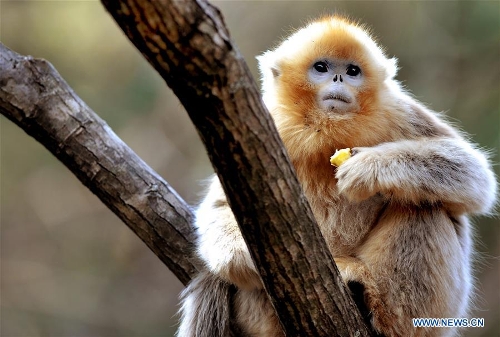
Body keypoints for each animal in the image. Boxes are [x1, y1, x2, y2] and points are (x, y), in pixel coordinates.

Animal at [176, 15, 496, 336]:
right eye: (321, 68)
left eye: (352, 71)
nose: (338, 79)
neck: (327, 127)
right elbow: (218, 207)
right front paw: (244, 255)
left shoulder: (398, 112)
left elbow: (476, 176)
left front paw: (367, 168)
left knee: (425, 207)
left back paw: (378, 308)